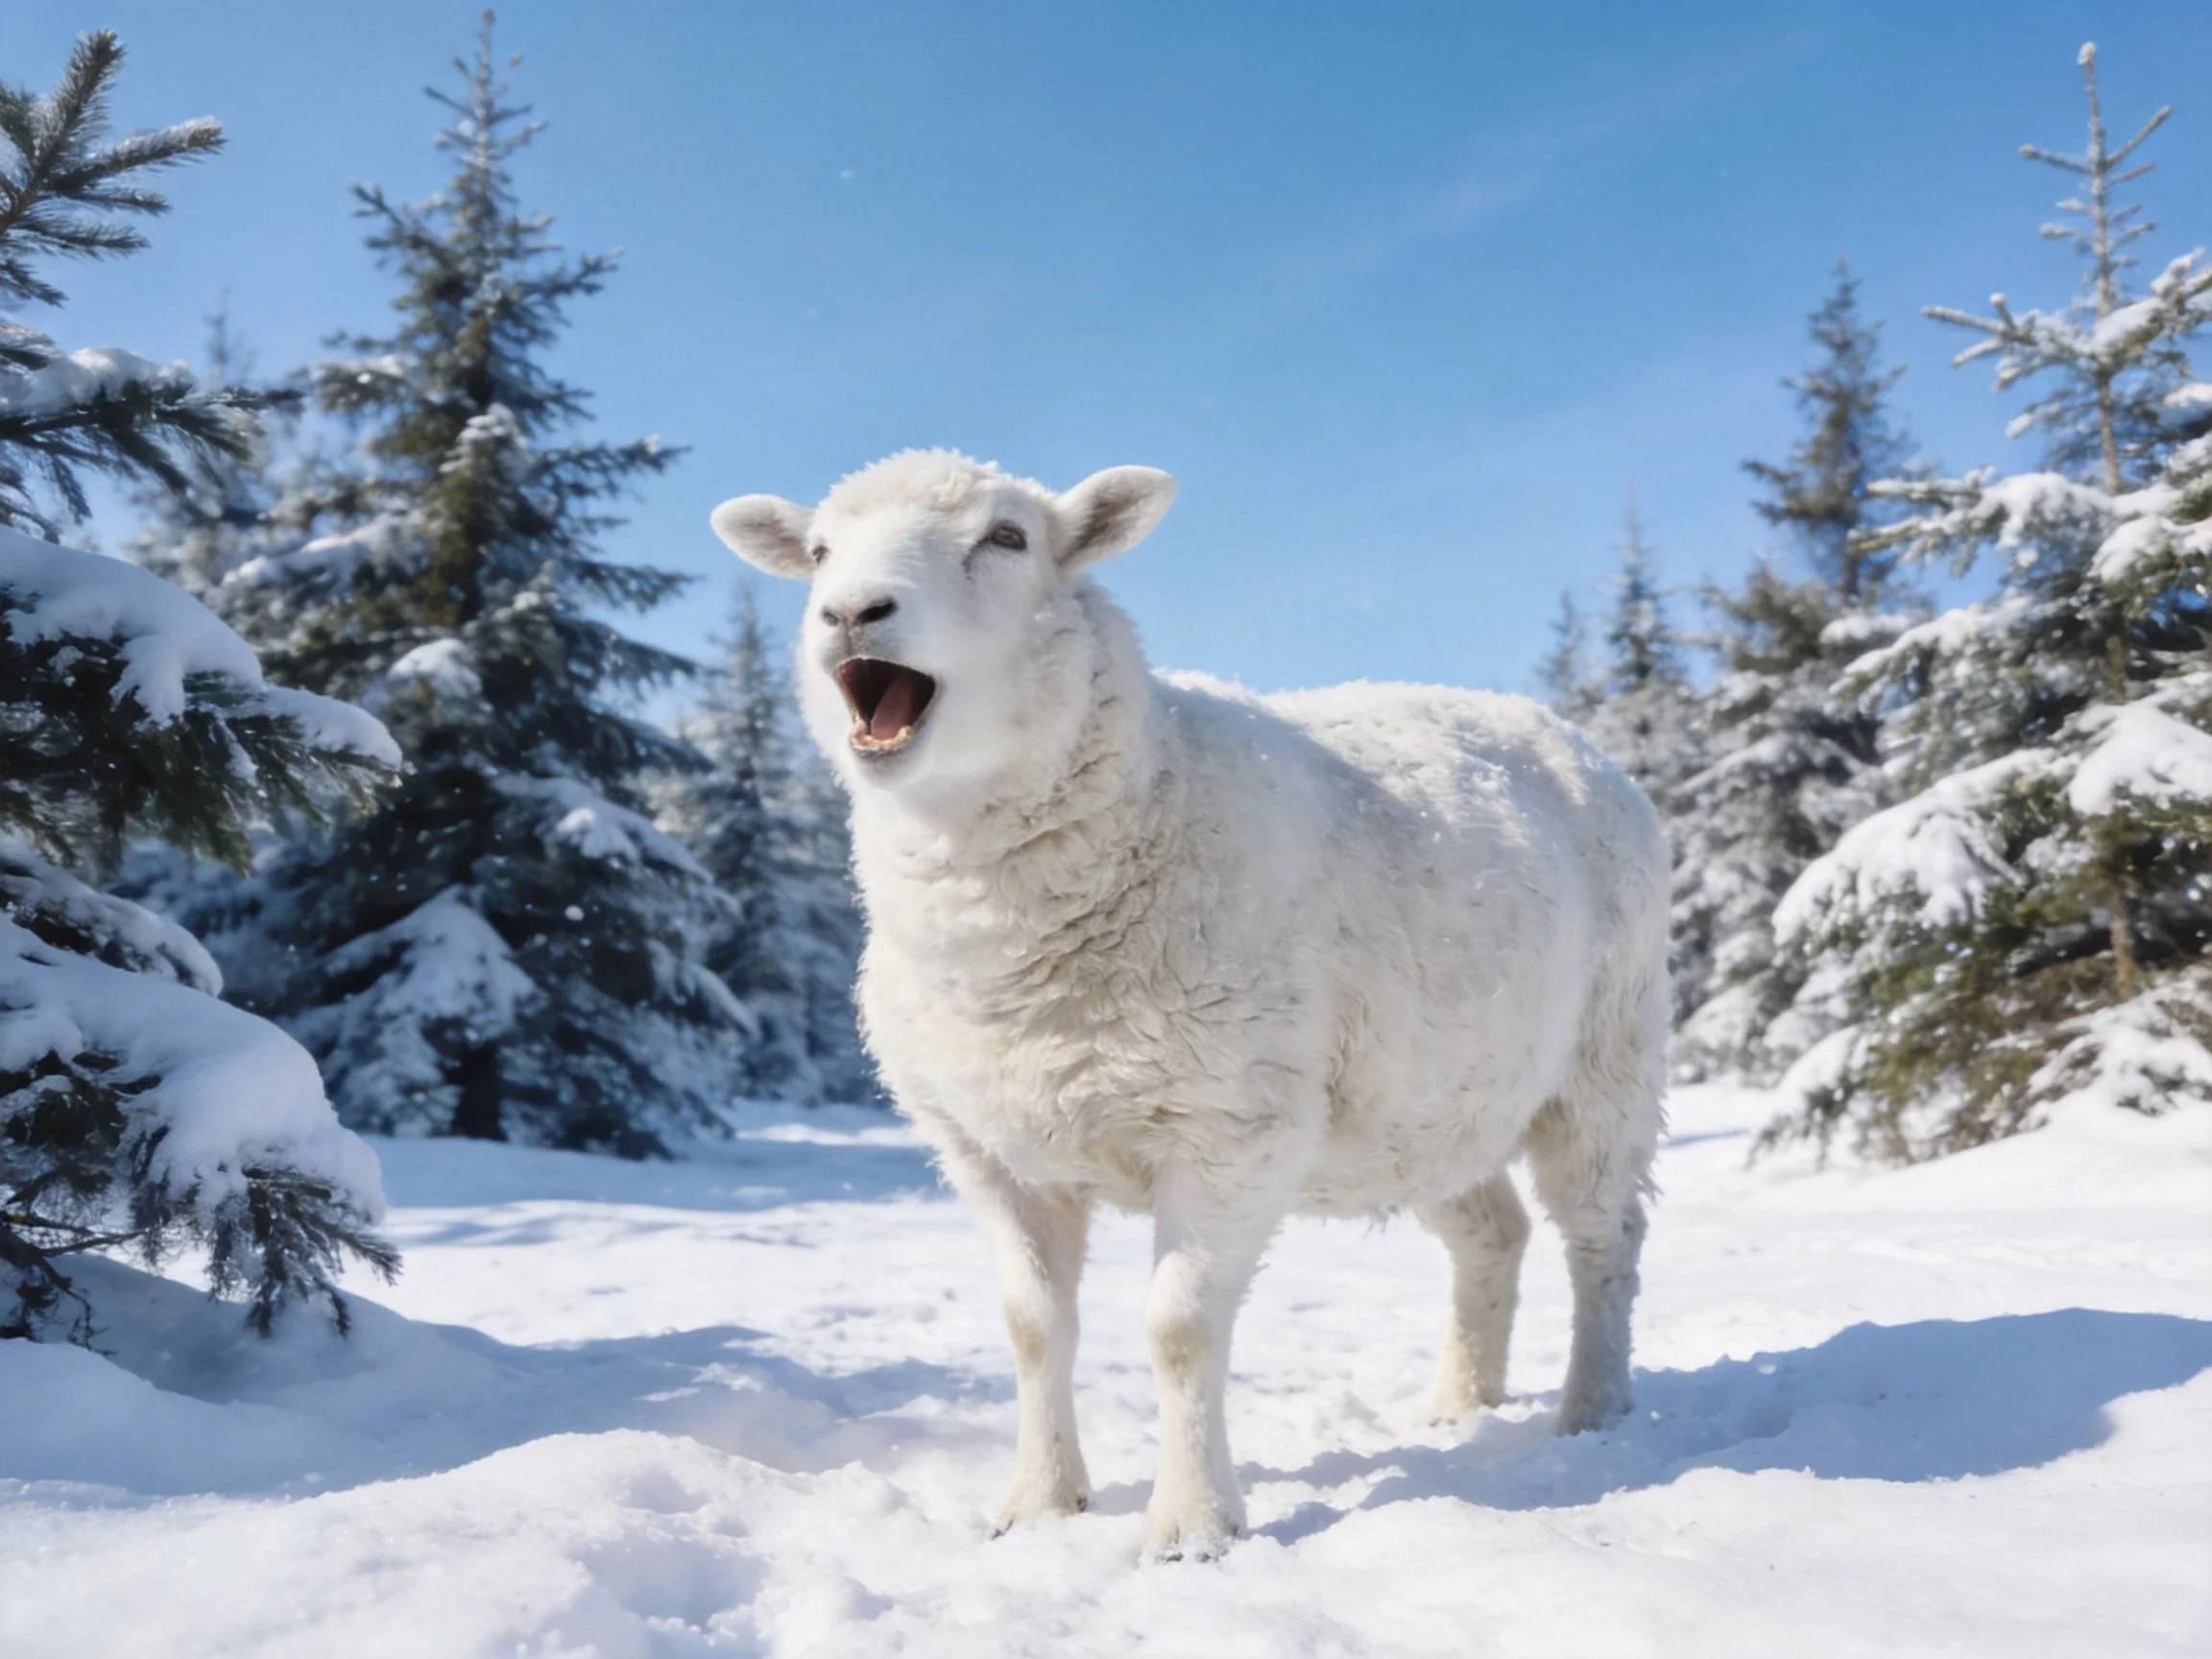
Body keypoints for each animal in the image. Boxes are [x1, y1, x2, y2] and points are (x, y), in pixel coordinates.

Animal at [711, 450, 1670, 1560]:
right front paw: (1039, 1505)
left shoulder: (1230, 1127)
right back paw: (1459, 1406)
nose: (851, 612)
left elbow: (1179, 1330)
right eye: (819, 551)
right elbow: (1033, 1328)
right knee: (1493, 1233)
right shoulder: (992, 1151)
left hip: (1606, 1059)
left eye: (1007, 538)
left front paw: (1191, 1528)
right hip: (1431, 1100)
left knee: (1603, 1240)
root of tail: (1562, 732)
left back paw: (1594, 1412)